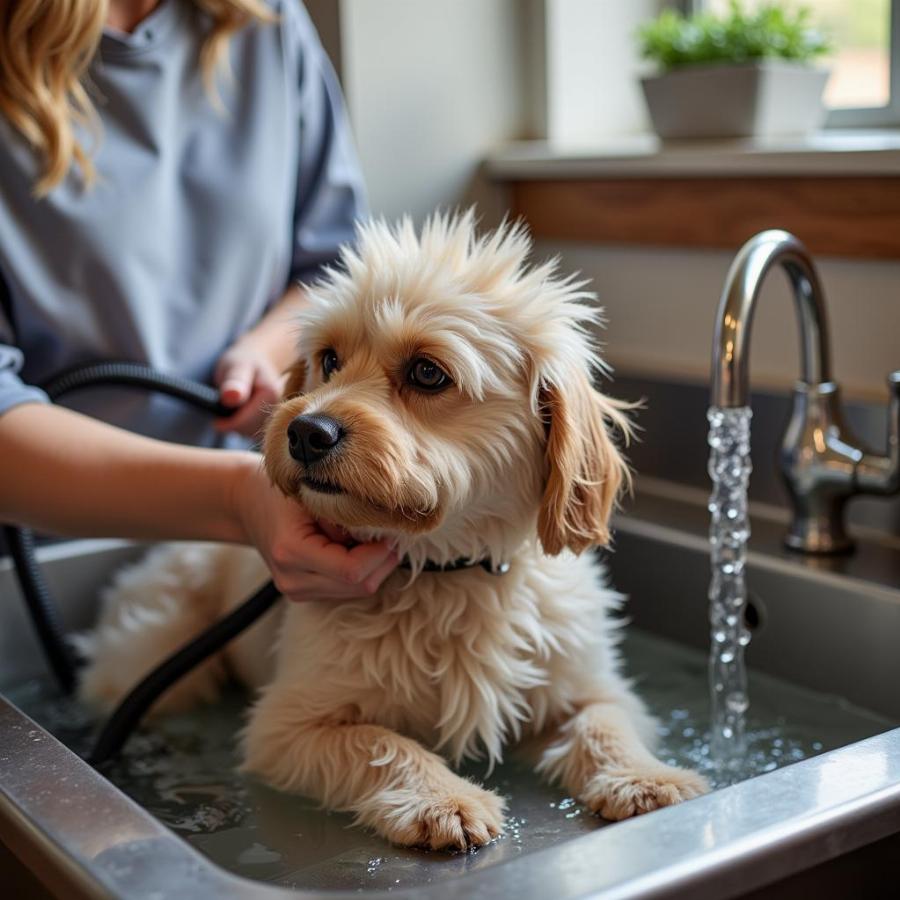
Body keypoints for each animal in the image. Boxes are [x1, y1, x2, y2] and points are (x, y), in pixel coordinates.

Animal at [79, 213, 712, 852]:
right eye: (329, 360)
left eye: (427, 372)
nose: (305, 432)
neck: (448, 571)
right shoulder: (288, 726)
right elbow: (381, 743)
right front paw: (441, 798)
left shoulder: (588, 687)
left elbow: (603, 723)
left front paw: (645, 777)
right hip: (158, 658)